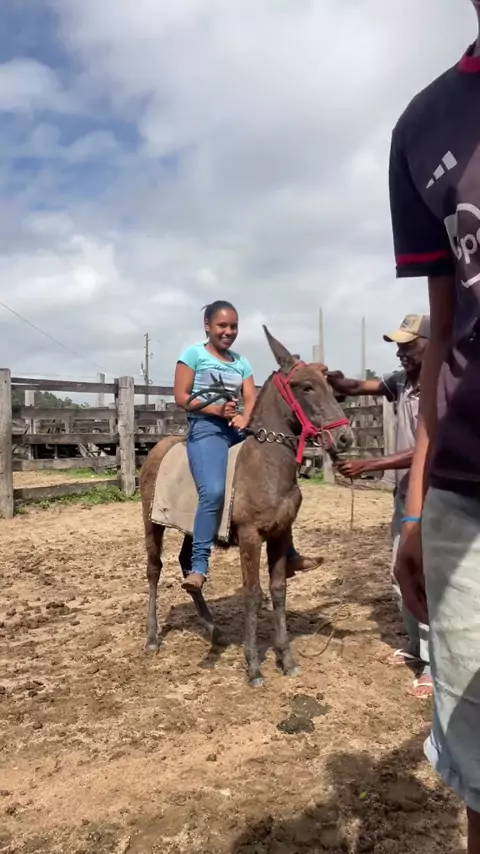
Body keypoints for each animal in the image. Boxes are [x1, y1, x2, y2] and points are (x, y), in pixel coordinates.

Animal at [139, 327, 354, 687]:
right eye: (306, 386)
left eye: (331, 386)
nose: (345, 439)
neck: (266, 466)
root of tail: (158, 448)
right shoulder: (251, 537)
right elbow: (252, 593)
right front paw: (254, 666)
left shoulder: (281, 533)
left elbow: (278, 590)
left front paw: (287, 659)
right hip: (151, 522)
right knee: (154, 569)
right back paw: (153, 637)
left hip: (192, 526)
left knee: (187, 562)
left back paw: (212, 627)